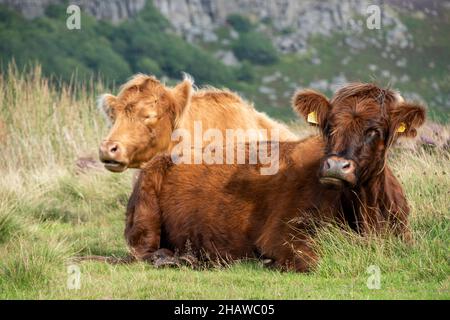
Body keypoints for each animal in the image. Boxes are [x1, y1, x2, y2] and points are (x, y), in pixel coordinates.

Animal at [125, 83, 426, 272]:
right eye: (329, 125)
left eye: (374, 130)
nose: (335, 166)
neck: (366, 213)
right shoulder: (282, 234)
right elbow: (316, 259)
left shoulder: (405, 236)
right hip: (144, 212)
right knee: (142, 250)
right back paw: (176, 259)